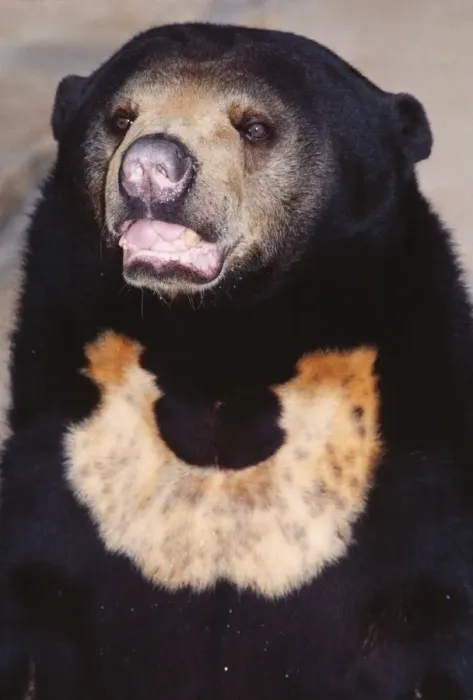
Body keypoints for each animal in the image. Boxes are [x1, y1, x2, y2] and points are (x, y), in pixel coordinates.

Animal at [0, 20, 473, 700]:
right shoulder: (68, 458)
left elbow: (425, 623)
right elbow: (34, 606)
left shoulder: (404, 467)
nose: (151, 169)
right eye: (121, 118)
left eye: (254, 127)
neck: (218, 349)